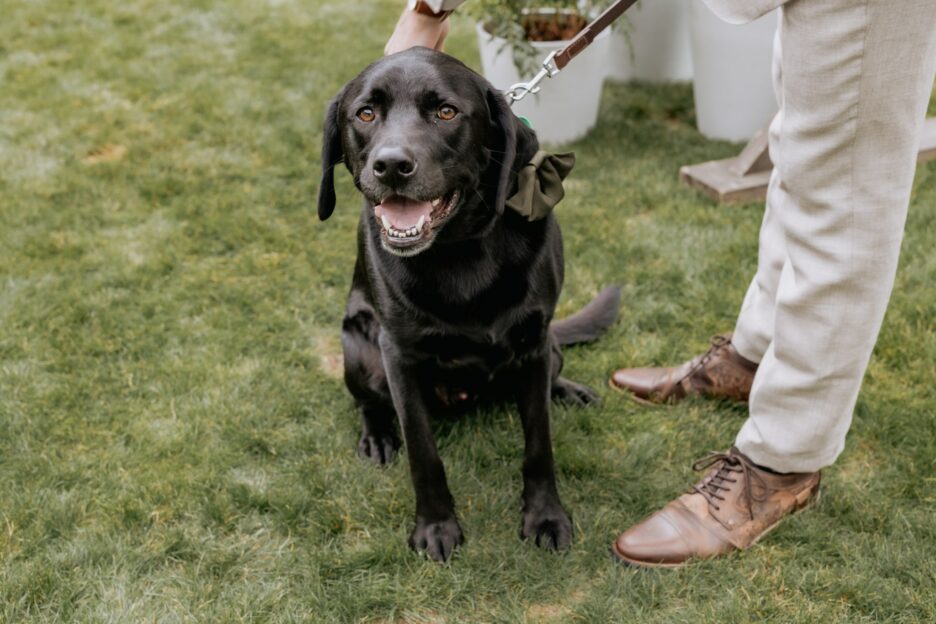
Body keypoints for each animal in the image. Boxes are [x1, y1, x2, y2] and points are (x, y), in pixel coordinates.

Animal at [320, 48, 620, 564]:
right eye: (366, 114)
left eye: (446, 112)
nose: (391, 166)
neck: (459, 251)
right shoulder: (398, 356)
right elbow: (424, 454)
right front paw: (435, 527)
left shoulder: (534, 343)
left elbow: (538, 445)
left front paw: (545, 517)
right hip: (360, 348)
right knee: (368, 403)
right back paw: (377, 436)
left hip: (548, 349)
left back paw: (567, 391)